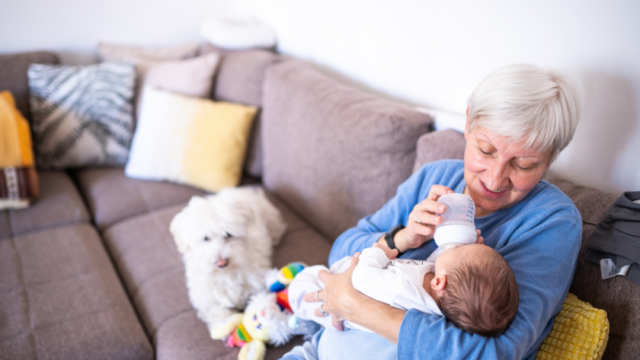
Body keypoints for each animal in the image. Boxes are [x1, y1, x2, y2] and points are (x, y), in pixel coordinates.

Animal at [169, 187, 286, 334]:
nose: (221, 263)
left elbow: (259, 298)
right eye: (206, 238)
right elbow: (216, 310)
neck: (226, 273)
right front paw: (225, 325)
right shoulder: (205, 295)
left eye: (228, 235)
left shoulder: (256, 283)